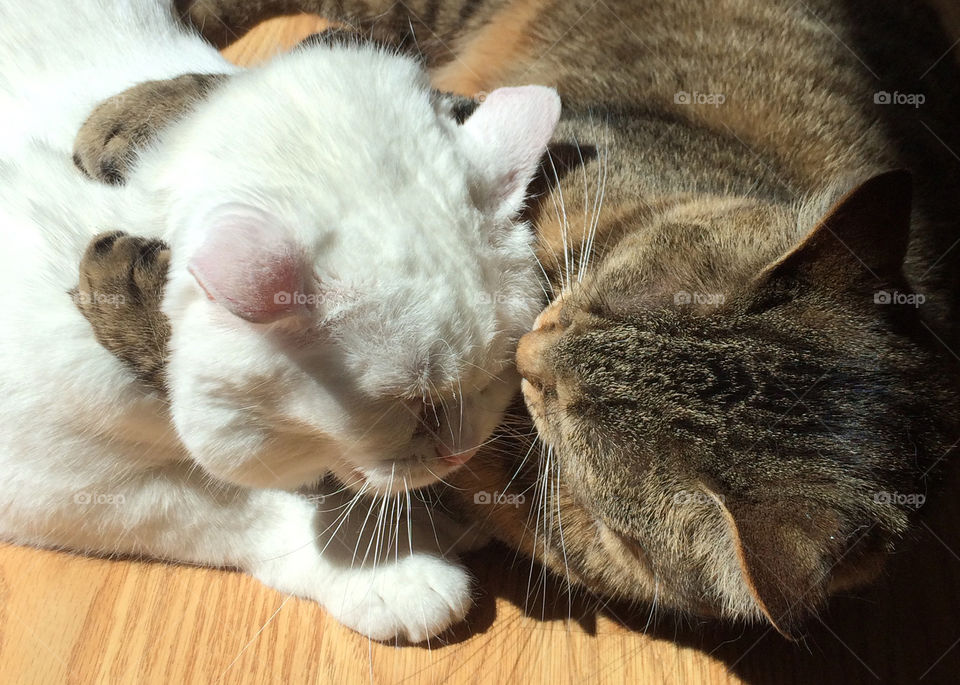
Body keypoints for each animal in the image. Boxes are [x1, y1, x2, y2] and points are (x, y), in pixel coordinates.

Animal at [0, 1, 560, 640]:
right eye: (407, 405)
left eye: (492, 381)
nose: (460, 456)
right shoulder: (58, 483)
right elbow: (242, 511)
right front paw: (396, 568)